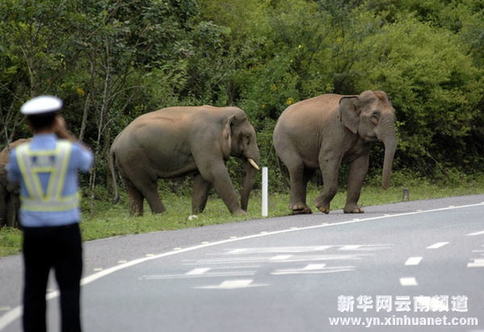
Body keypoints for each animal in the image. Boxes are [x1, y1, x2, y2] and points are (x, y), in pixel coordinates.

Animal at [109, 105, 260, 217]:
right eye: (247, 137)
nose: (246, 209)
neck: (220, 111)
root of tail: (114, 144)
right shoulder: (205, 141)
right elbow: (214, 172)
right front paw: (240, 215)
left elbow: (202, 177)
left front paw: (196, 214)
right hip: (134, 159)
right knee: (148, 185)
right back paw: (163, 215)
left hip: (126, 162)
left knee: (132, 188)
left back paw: (136, 216)